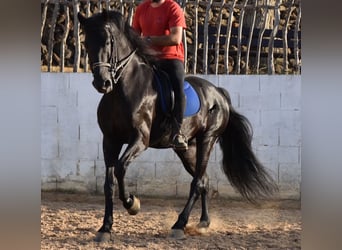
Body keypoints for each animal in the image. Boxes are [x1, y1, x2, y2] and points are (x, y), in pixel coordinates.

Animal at [77, 10, 278, 241]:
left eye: (109, 42)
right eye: (86, 43)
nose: (102, 83)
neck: (123, 89)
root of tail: (219, 93)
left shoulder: (140, 140)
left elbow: (120, 169)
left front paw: (132, 204)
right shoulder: (110, 140)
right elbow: (108, 183)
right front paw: (105, 228)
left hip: (207, 139)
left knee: (197, 182)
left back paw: (179, 225)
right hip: (187, 149)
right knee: (204, 180)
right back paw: (203, 222)